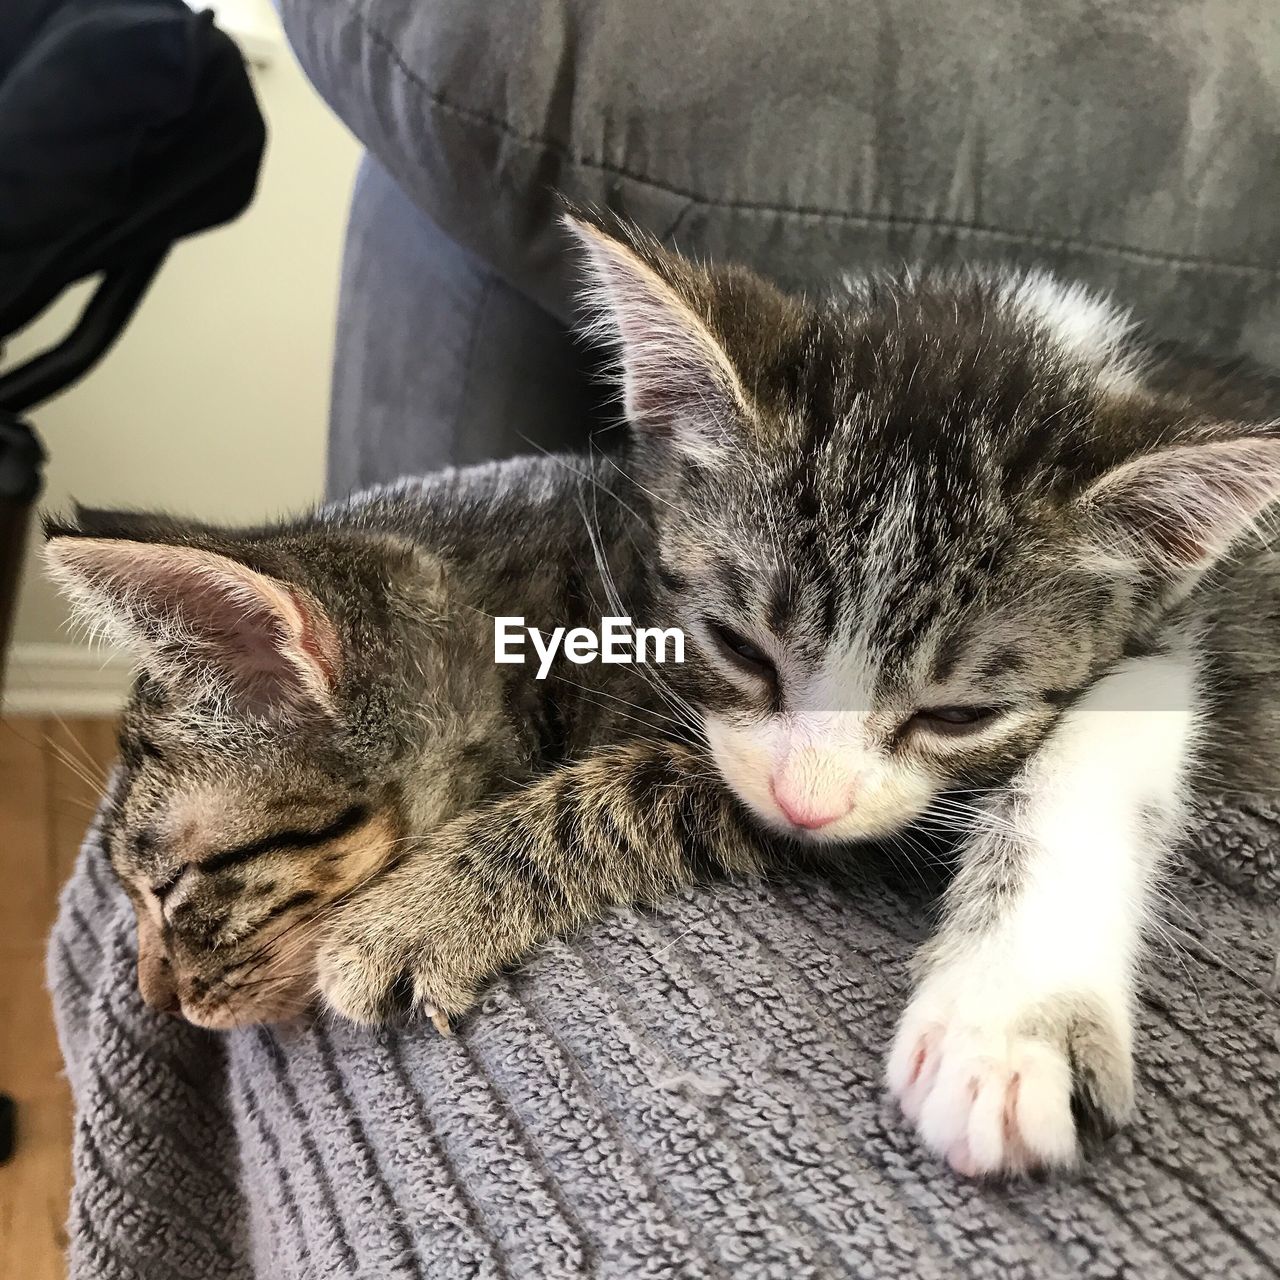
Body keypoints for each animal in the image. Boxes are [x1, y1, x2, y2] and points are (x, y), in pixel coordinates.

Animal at [42, 212, 1280, 1177]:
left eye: (176, 887)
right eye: (134, 894)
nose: (157, 995)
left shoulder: (853, 799)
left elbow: (632, 788)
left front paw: (414, 911)